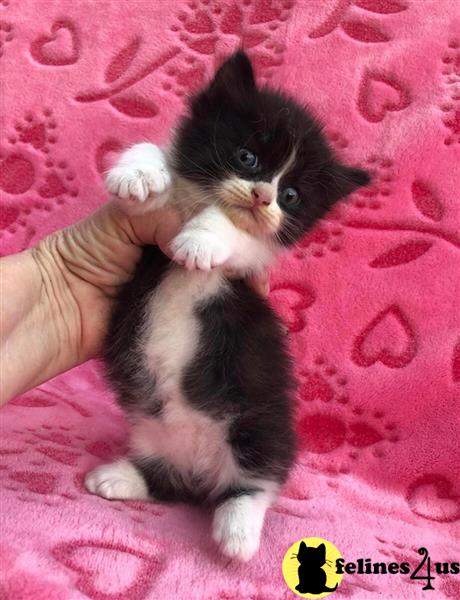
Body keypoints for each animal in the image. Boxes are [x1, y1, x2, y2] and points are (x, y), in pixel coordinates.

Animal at [84, 52, 368, 564]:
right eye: (246, 157)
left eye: (291, 196)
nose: (263, 196)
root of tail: (200, 471)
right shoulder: (145, 237)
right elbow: (153, 169)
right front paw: (139, 172)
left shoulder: (254, 257)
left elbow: (237, 231)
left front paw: (200, 240)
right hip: (152, 434)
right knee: (165, 480)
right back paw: (121, 476)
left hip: (261, 425)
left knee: (256, 480)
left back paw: (237, 529)